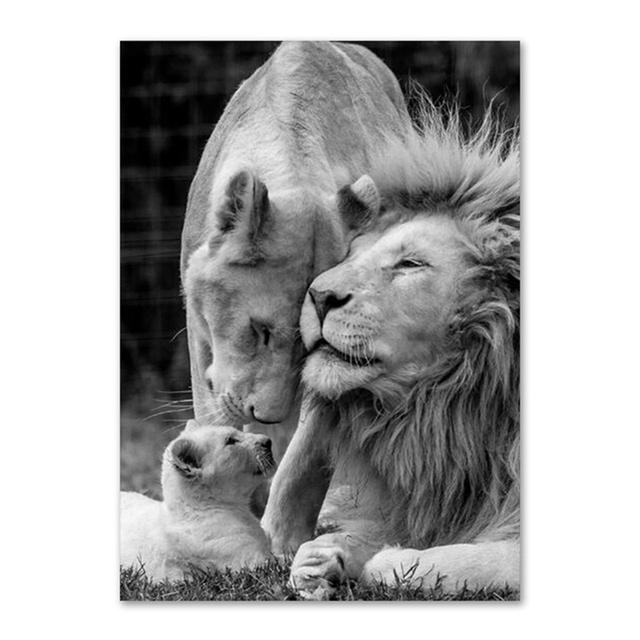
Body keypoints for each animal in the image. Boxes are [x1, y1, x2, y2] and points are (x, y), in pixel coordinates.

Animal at [261, 97, 520, 598]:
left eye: (411, 264)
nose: (318, 295)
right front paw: (323, 558)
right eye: (351, 254)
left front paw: (388, 561)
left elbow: (455, 561)